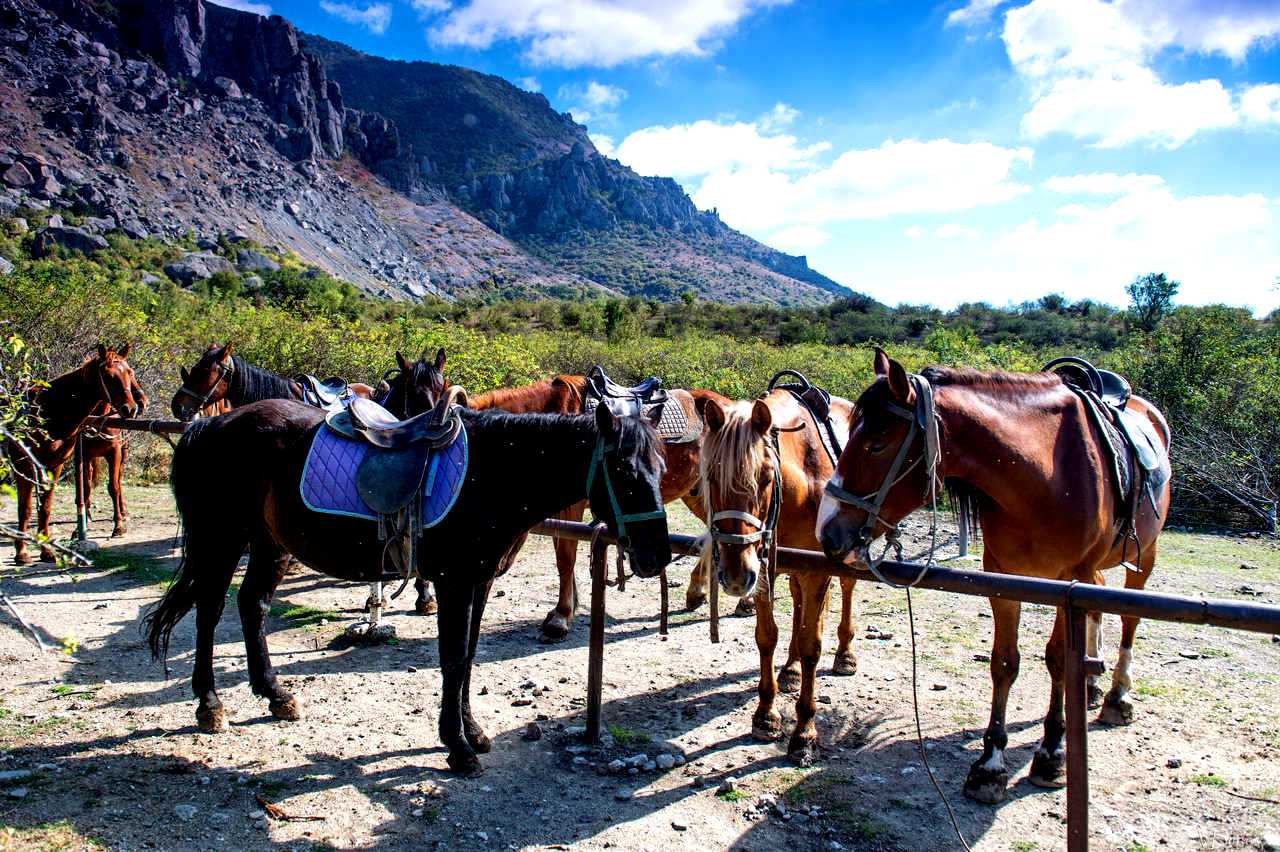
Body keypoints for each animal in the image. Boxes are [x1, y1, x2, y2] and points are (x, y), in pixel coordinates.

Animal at [6, 342, 143, 560]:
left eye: (130, 372)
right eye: (109, 376)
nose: (131, 408)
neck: (48, 410)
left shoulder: (55, 465)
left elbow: (46, 506)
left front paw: (46, 550)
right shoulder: (24, 464)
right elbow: (26, 508)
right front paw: (22, 552)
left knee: (118, 484)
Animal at [145, 394, 675, 772]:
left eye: (662, 468)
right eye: (624, 472)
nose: (656, 556)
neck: (493, 476)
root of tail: (211, 425)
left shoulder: (479, 581)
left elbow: (468, 656)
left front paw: (472, 732)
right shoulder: (455, 582)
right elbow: (453, 658)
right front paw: (456, 746)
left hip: (269, 543)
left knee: (251, 604)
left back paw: (276, 695)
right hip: (221, 540)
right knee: (211, 610)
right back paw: (209, 704)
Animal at [696, 388, 855, 757]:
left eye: (766, 478)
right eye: (711, 477)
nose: (735, 575)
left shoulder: (815, 572)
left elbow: (812, 644)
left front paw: (805, 730)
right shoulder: (763, 570)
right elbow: (767, 637)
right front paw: (766, 714)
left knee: (847, 587)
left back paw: (845, 654)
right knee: (798, 603)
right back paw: (792, 670)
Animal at [819, 347, 1172, 798]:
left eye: (877, 444)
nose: (827, 530)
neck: (1046, 473)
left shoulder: (1068, 581)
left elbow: (1058, 660)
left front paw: (1051, 753)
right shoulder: (1004, 580)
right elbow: (1004, 663)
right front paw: (990, 763)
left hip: (1143, 557)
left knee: (1129, 618)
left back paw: (1116, 697)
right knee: (1098, 607)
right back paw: (1091, 686)